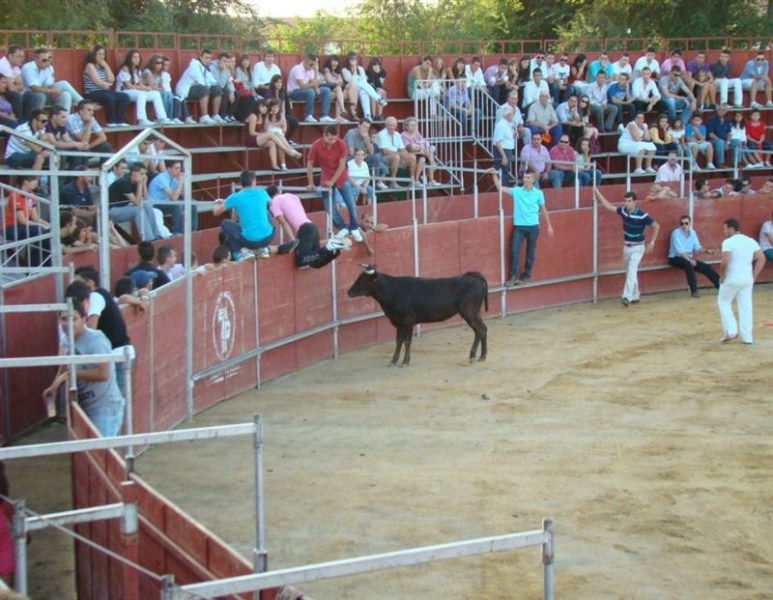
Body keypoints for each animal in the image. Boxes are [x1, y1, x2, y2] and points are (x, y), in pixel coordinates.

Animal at [346, 268, 486, 366]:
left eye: (362, 280)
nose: (349, 292)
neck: (392, 290)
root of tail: (474, 277)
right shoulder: (397, 322)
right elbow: (398, 341)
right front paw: (394, 360)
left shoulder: (408, 321)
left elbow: (407, 341)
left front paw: (405, 362)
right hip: (475, 313)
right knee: (483, 329)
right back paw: (482, 356)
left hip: (468, 312)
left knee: (479, 330)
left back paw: (474, 355)